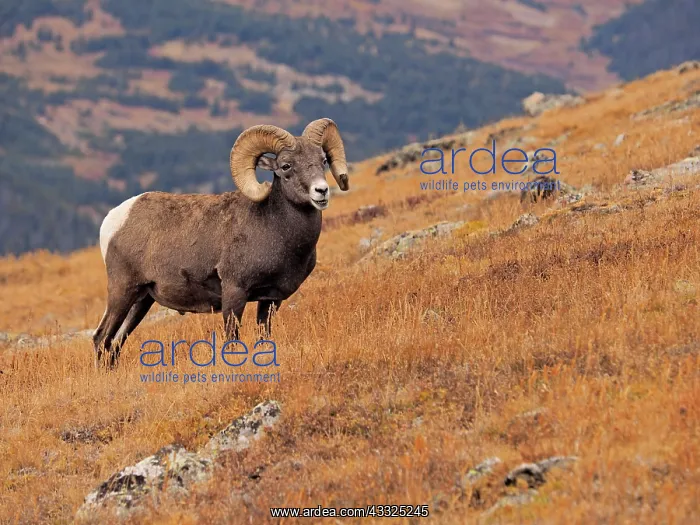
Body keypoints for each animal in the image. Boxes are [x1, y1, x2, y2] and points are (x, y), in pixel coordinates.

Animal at [93, 118, 349, 368]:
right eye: (286, 166)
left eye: (323, 160)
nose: (321, 191)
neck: (273, 226)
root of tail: (115, 219)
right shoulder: (235, 292)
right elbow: (232, 339)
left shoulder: (270, 300)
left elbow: (264, 337)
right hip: (123, 291)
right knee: (101, 337)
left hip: (141, 301)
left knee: (115, 342)